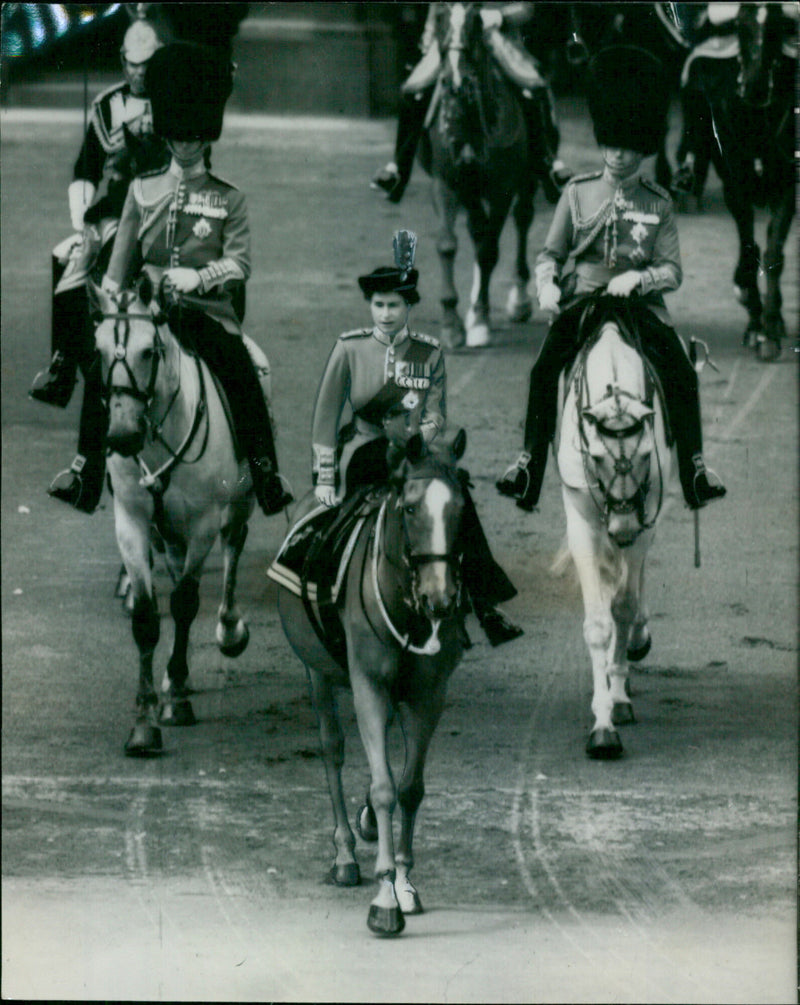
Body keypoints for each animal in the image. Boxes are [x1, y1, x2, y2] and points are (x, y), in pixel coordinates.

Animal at [275, 430, 466, 932]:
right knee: (333, 750)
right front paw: (384, 898)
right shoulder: (369, 687)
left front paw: (404, 882)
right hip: (319, 673)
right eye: (411, 509)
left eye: (460, 508)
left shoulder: (428, 695)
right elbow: (383, 789)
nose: (441, 598)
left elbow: (410, 788)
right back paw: (344, 853)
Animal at [418, 1, 538, 349]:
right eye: (440, 19)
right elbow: (448, 244)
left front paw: (481, 320)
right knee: (478, 229)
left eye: (474, 22)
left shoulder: (503, 187)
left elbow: (488, 251)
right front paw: (452, 323)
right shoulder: (447, 183)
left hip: (526, 179)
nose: (455, 81)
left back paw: (518, 300)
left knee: (522, 219)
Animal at [554, 301, 671, 755]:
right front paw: (602, 725)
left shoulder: (645, 521)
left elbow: (622, 606)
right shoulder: (583, 526)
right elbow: (599, 624)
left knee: (633, 587)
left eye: (645, 455)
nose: (621, 526)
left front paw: (617, 698)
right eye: (599, 457)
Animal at [683, 0, 795, 357]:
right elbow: (749, 247)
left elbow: (773, 251)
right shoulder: (734, 182)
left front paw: (770, 327)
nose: (756, 87)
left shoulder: (788, 182)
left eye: (776, 29)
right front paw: (754, 320)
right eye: (742, 28)